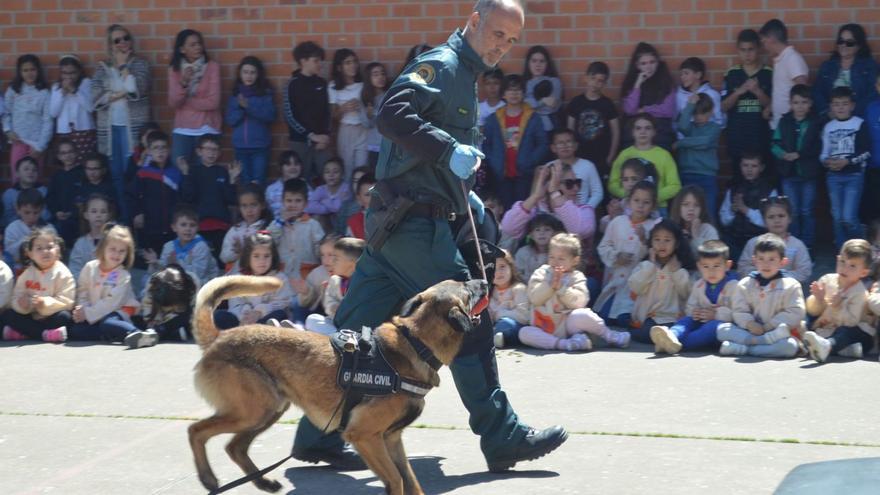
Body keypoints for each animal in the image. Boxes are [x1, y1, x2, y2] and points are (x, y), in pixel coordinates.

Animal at [187, 276, 488, 495]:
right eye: (467, 288)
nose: (484, 281)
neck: (416, 343)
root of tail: (219, 337)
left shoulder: (391, 440)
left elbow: (411, 482)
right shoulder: (365, 436)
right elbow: (397, 481)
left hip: (268, 410)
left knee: (235, 447)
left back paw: (264, 483)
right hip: (253, 412)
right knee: (196, 431)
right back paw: (209, 479)